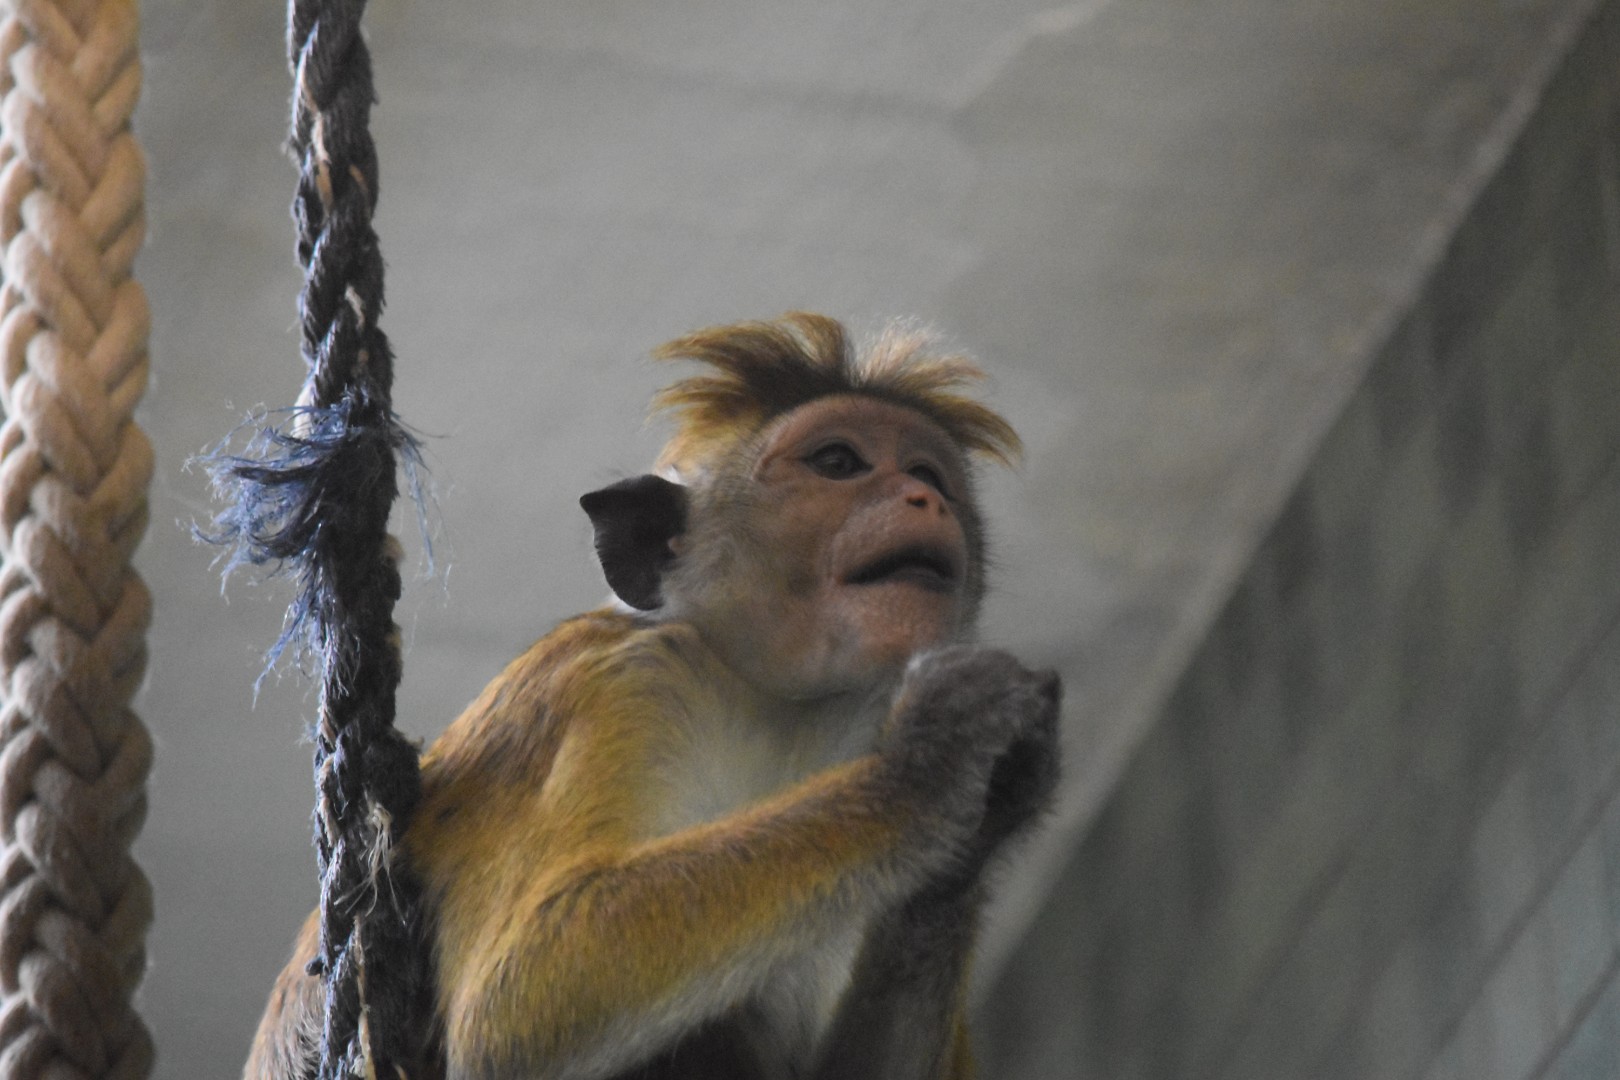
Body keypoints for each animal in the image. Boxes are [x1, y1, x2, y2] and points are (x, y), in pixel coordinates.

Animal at [245, 312, 1062, 1080]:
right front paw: (931, 762)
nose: (923, 497)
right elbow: (515, 1003)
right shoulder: (623, 681)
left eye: (929, 471)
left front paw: (990, 812)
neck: (773, 706)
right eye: (838, 462)